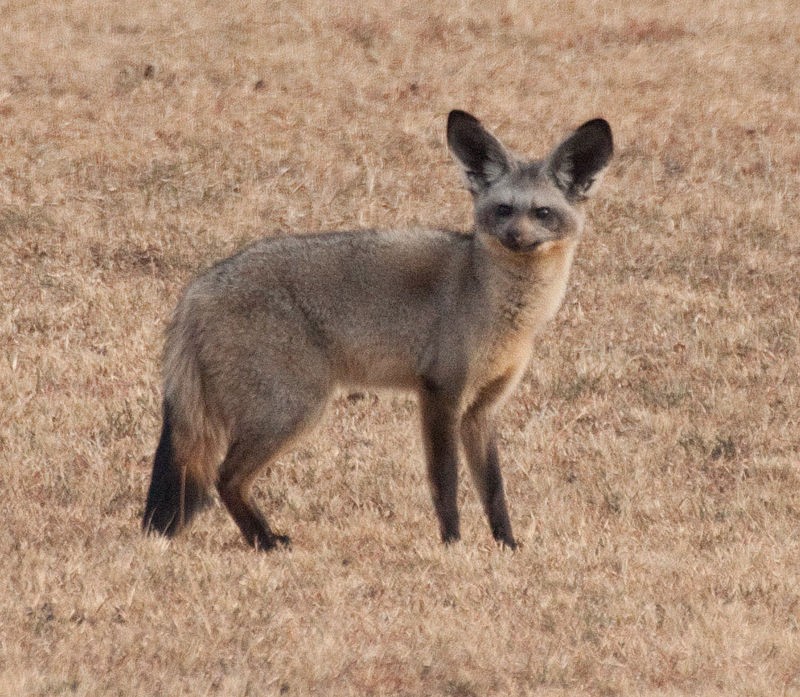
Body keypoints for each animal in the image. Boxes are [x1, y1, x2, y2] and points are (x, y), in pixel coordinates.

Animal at [142, 109, 612, 548]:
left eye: (543, 213)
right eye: (503, 210)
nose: (515, 237)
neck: (495, 303)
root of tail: (199, 286)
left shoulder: (481, 410)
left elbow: (494, 490)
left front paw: (506, 546)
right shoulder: (440, 393)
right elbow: (445, 483)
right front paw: (452, 544)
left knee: (228, 480)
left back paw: (264, 539)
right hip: (293, 409)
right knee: (225, 477)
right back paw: (265, 543)